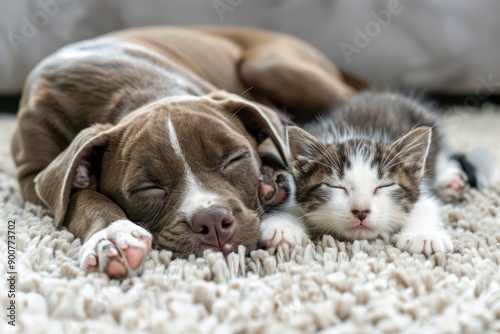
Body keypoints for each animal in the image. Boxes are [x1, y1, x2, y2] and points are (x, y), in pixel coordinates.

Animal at [11, 26, 364, 278]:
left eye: (234, 159)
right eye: (148, 188)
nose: (213, 220)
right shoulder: (33, 176)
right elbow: (78, 196)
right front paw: (113, 236)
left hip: (272, 67)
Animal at [262, 91, 496, 253]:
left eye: (383, 186)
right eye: (337, 186)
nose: (361, 211)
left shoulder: (421, 188)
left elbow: (426, 205)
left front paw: (423, 236)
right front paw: (283, 227)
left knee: (443, 158)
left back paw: (451, 182)